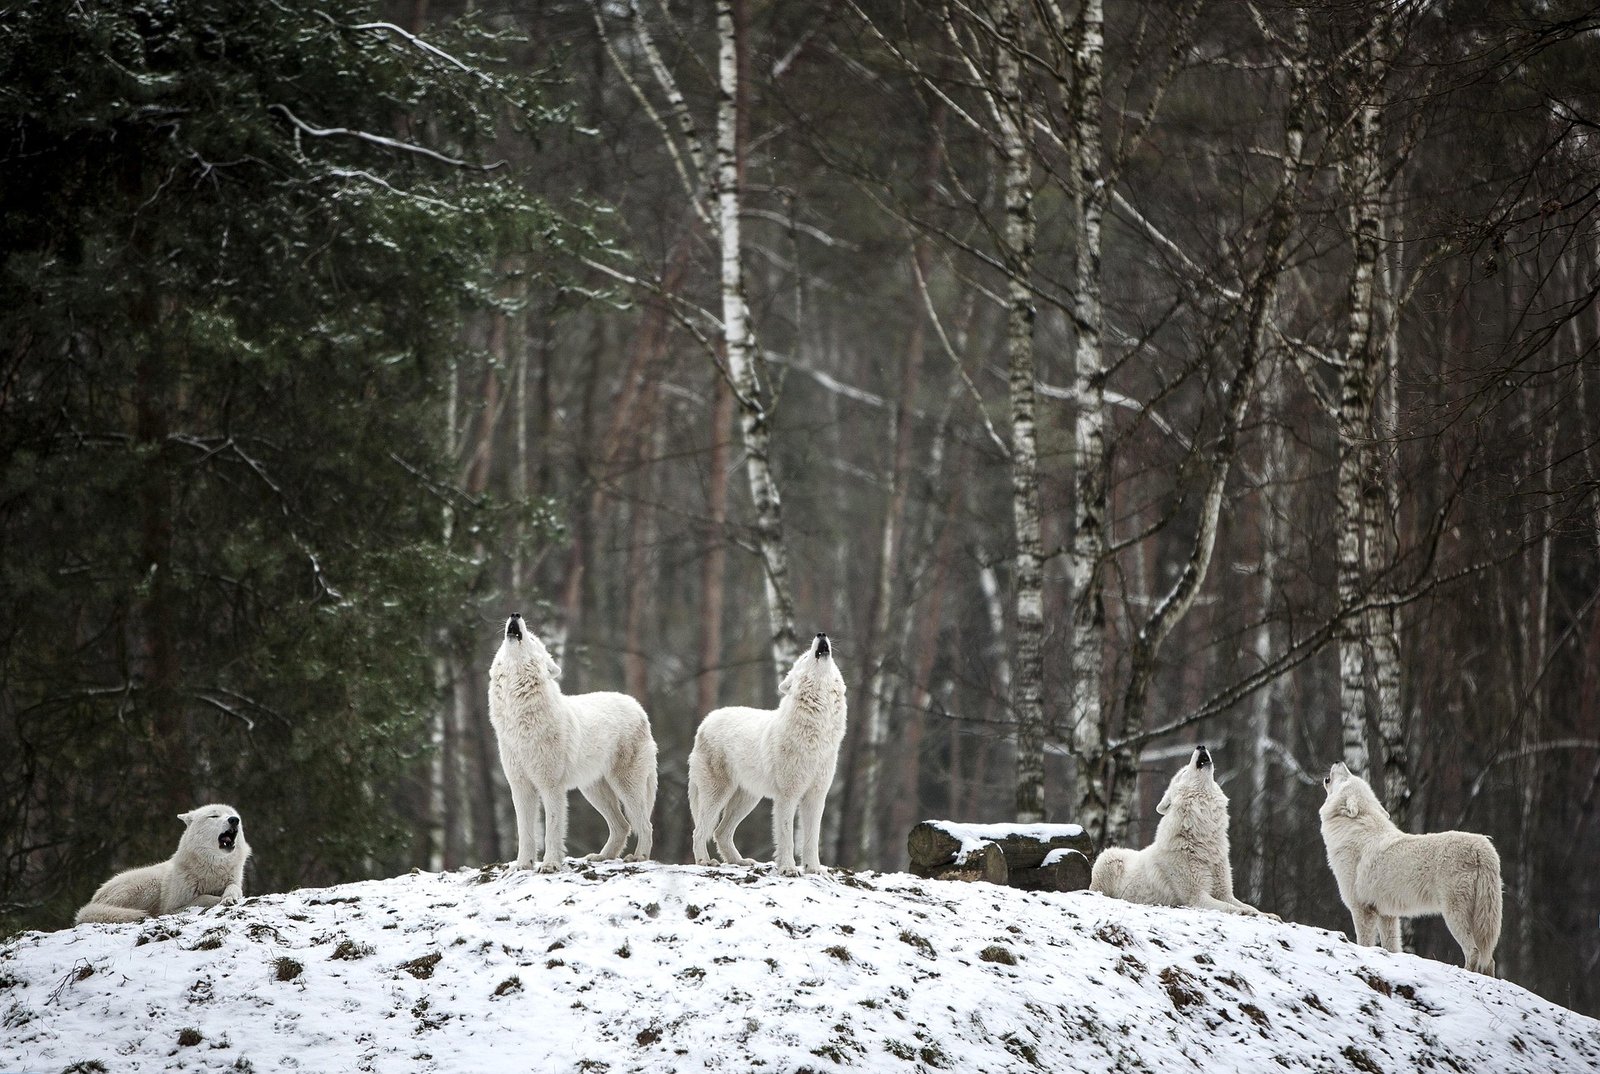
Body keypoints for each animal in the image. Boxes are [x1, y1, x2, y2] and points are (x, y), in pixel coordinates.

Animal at [75, 805, 251, 924]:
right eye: (214, 816)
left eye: (233, 815)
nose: (234, 820)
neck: (212, 869)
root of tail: (93, 901)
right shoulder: (172, 908)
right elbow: (203, 898)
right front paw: (217, 899)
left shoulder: (233, 881)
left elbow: (234, 889)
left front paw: (229, 898)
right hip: (148, 885)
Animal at [487, 613, 657, 872]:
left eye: (533, 639)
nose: (515, 614)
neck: (520, 721)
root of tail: (638, 707)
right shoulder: (520, 787)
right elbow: (525, 832)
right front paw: (523, 865)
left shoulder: (551, 787)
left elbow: (552, 829)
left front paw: (549, 864)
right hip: (593, 790)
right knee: (622, 826)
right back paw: (601, 857)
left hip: (626, 786)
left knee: (644, 825)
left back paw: (638, 858)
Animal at [688, 633, 847, 875]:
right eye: (804, 657)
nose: (821, 634)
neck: (817, 732)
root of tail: (706, 722)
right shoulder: (787, 796)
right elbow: (787, 836)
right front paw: (788, 869)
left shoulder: (816, 796)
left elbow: (812, 838)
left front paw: (813, 869)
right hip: (718, 794)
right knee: (700, 831)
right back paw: (705, 862)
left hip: (747, 799)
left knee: (720, 832)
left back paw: (739, 861)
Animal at [1090, 746, 1272, 916]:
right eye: (1184, 772)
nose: (1201, 746)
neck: (1203, 839)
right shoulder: (1197, 896)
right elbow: (1232, 907)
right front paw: (1247, 912)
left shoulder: (1225, 893)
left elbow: (1248, 905)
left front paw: (1269, 914)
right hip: (1109, 857)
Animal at [1319, 762, 1501, 975]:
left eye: (1347, 778)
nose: (1339, 762)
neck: (1355, 830)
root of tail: (1482, 847)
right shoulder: (1387, 914)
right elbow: (1391, 947)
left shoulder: (1361, 909)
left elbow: (1363, 943)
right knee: (1489, 959)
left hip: (1454, 914)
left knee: (1473, 952)